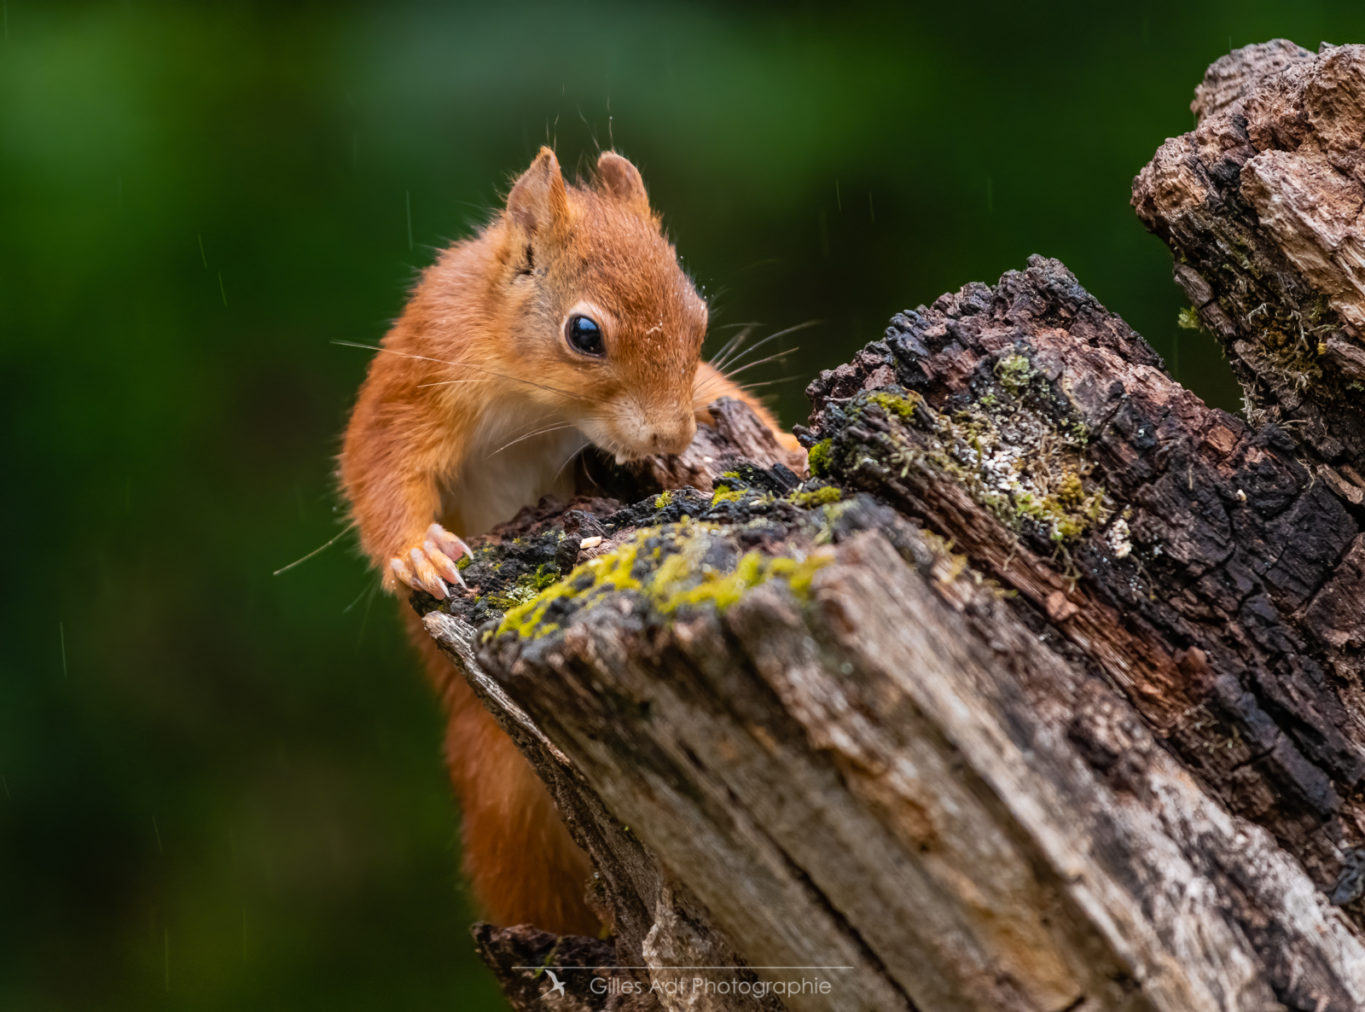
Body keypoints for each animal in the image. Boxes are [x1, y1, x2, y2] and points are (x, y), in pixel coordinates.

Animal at [337, 148, 797, 934]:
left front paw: (787, 445)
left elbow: (718, 391)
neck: (532, 404)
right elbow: (379, 465)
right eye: (585, 334)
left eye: (698, 315)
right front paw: (415, 554)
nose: (669, 436)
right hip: (504, 808)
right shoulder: (419, 369)